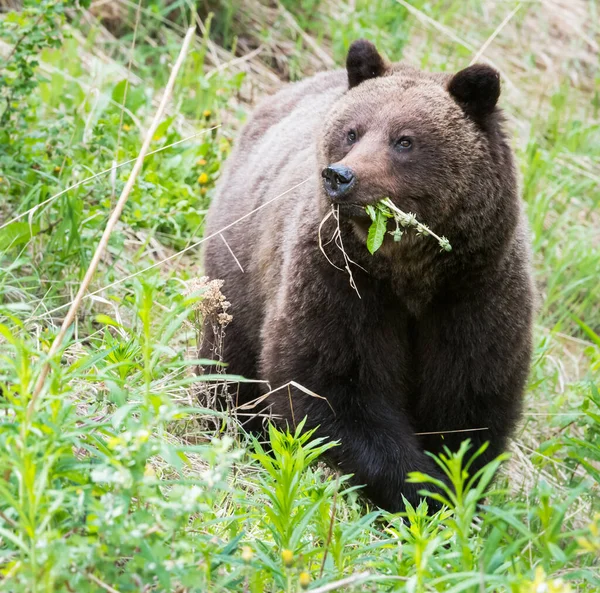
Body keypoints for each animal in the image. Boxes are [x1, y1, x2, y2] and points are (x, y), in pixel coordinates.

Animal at [202, 40, 536, 512]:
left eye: (405, 140)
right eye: (353, 131)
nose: (340, 176)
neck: (411, 272)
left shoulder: (476, 293)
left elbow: (468, 405)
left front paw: (456, 493)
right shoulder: (342, 281)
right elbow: (332, 386)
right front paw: (422, 487)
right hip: (240, 266)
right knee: (229, 358)